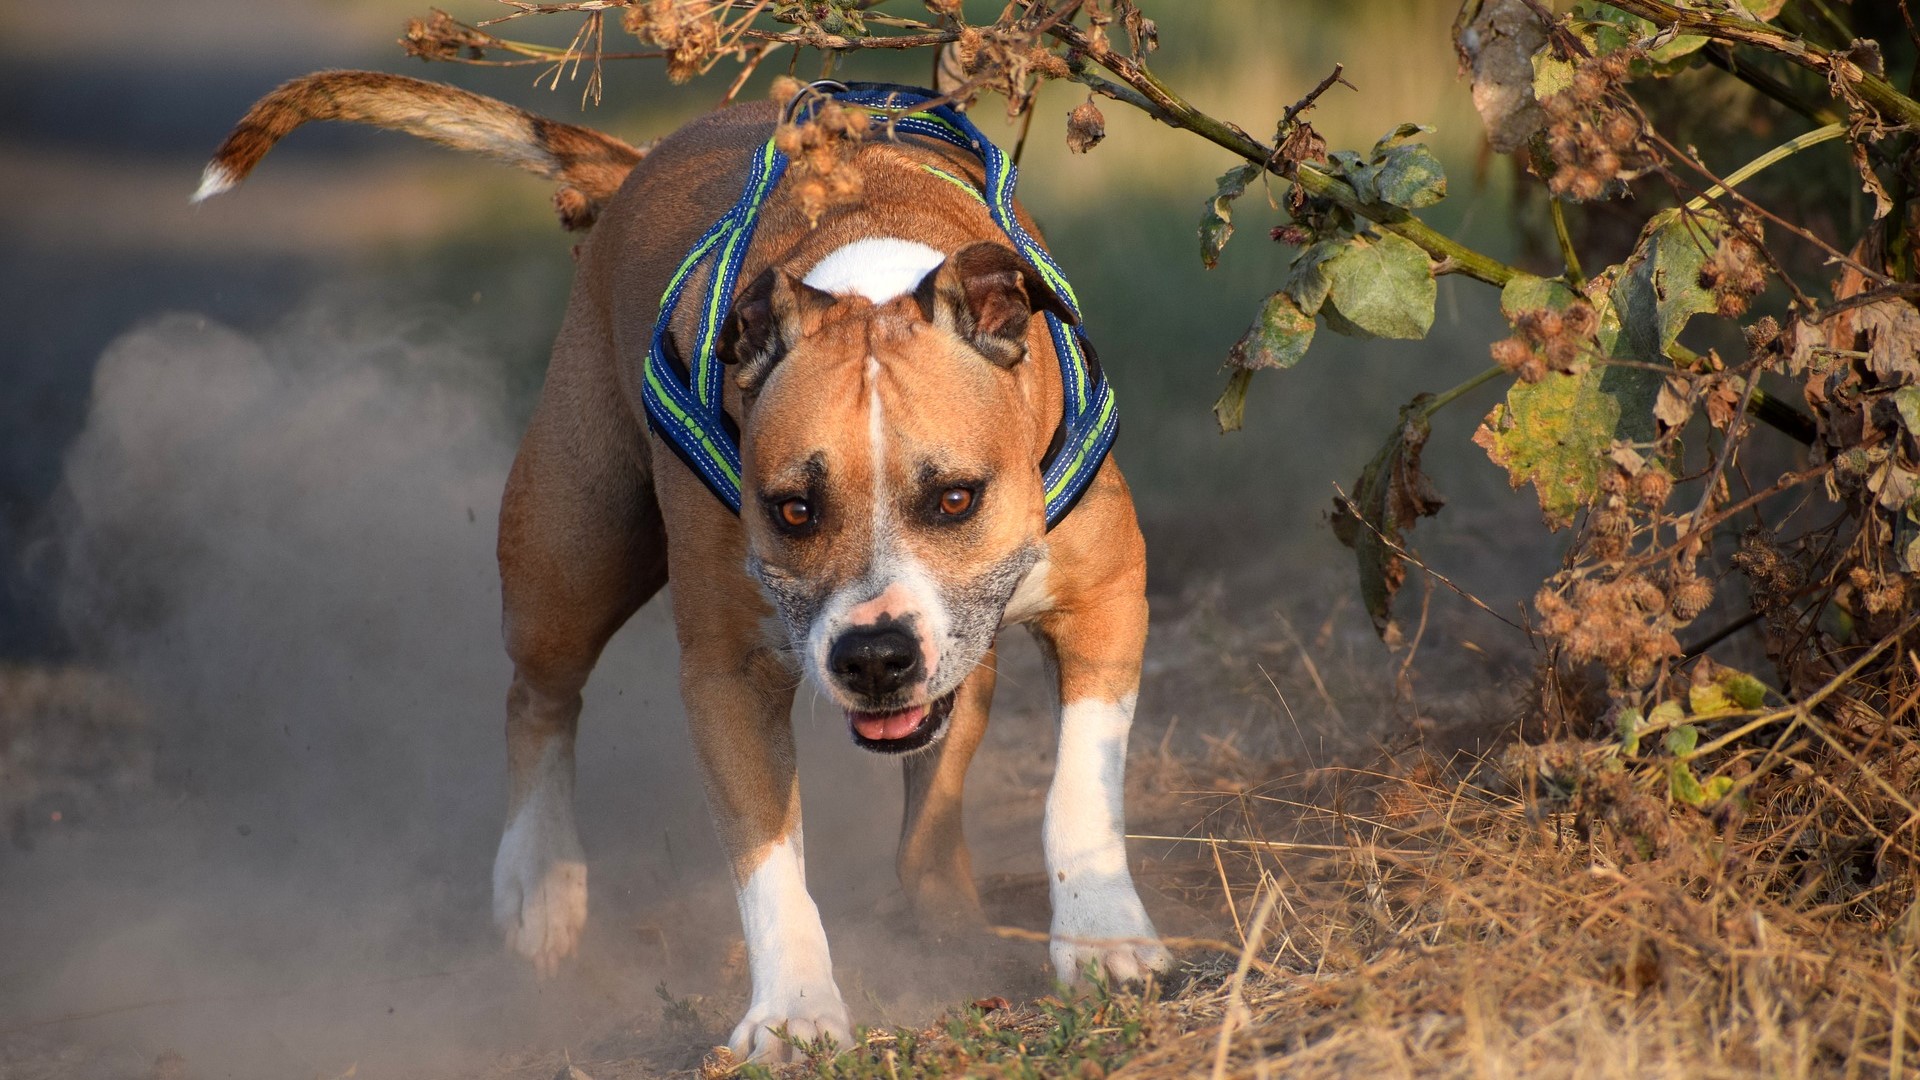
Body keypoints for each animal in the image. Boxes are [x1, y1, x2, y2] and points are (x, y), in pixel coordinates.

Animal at [206, 71, 1167, 1053]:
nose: (873, 657)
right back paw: (540, 882)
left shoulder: (1107, 598)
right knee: (539, 697)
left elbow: (1079, 789)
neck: (866, 270)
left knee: (934, 793)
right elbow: (767, 859)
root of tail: (643, 160)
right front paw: (793, 1011)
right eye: (791, 510)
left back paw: (946, 918)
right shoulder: (727, 675)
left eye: (956, 499)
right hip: (570, 555)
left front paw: (1103, 939)